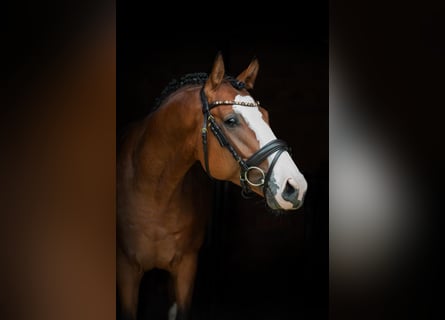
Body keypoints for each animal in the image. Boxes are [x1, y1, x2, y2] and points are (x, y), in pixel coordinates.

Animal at [116, 53, 306, 320]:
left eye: (266, 115)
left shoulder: (187, 267)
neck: (153, 193)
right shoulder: (126, 270)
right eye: (231, 120)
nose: (295, 187)